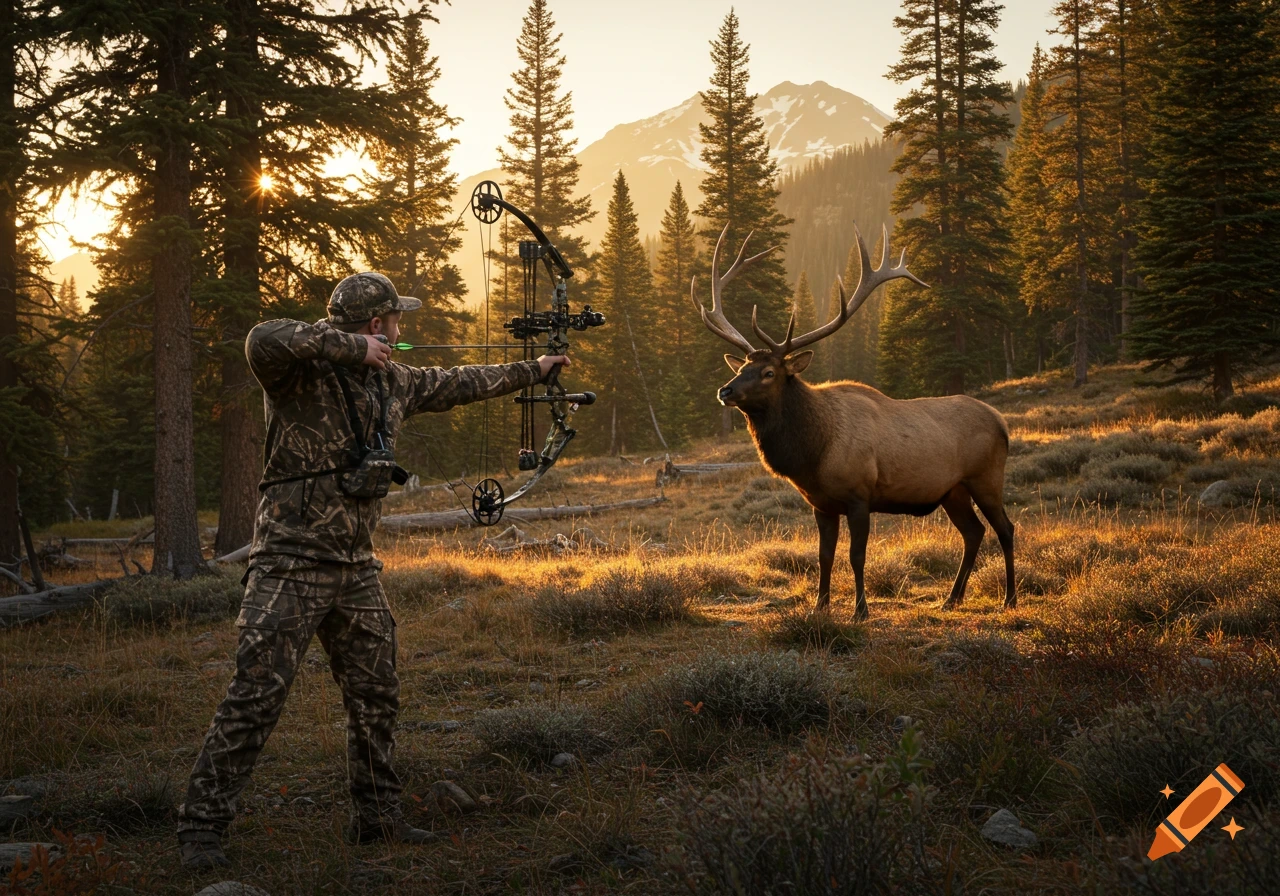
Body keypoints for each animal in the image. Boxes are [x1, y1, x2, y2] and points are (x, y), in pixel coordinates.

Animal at [692, 223, 1015, 620]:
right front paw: (820, 606)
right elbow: (824, 557)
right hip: (952, 491)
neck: (813, 454)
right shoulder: (821, 504)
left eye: (769, 372)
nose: (725, 390)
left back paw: (1009, 598)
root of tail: (1001, 422)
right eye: (741, 368)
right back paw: (952, 598)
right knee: (973, 532)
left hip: (986, 478)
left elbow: (856, 556)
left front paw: (861, 610)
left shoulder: (860, 496)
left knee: (1005, 529)